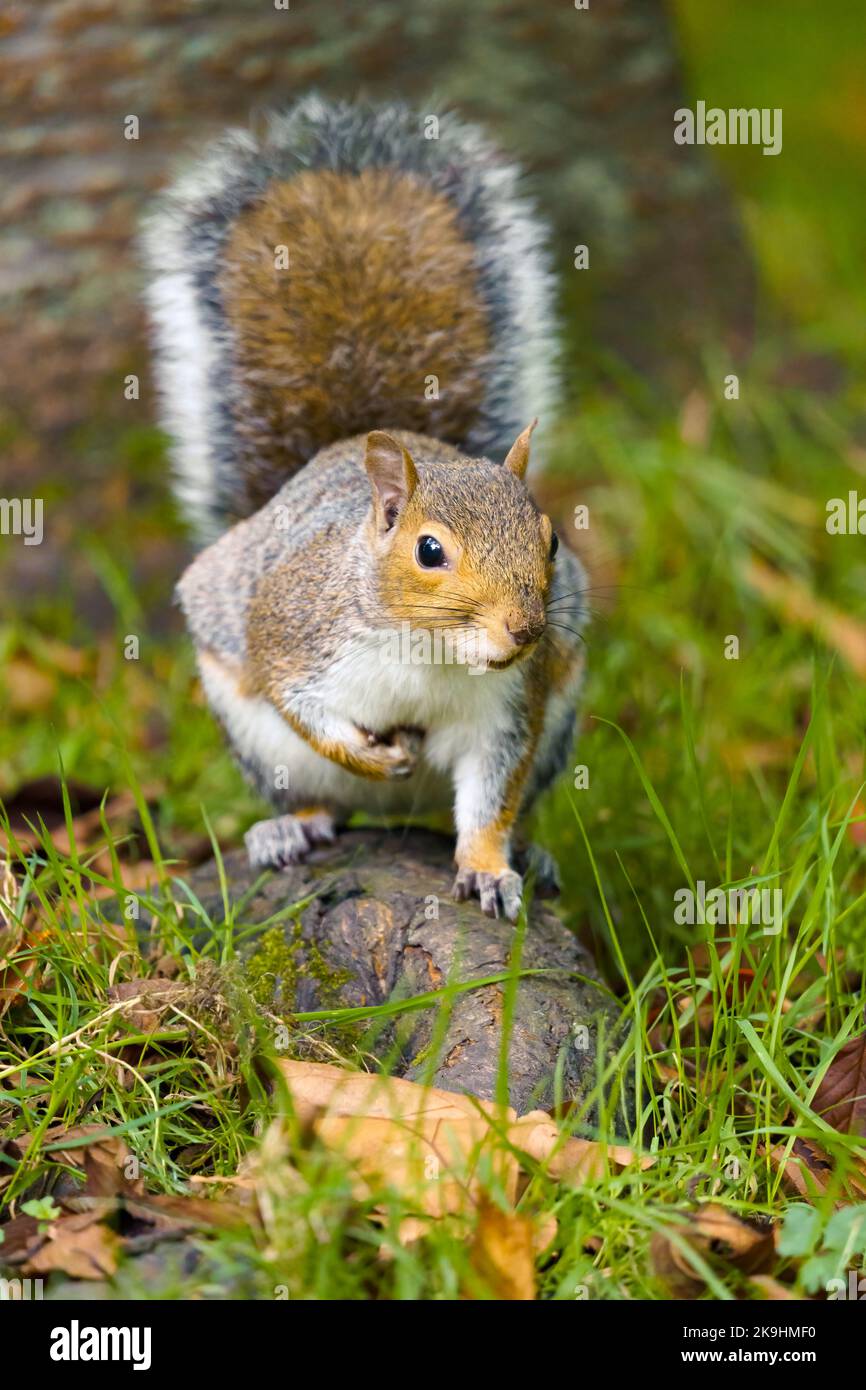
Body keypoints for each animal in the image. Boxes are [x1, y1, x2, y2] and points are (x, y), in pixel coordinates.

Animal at [143, 97, 589, 922]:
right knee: (317, 796)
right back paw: (291, 829)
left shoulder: (512, 706)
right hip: (256, 741)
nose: (525, 629)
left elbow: (491, 798)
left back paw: (536, 855)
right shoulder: (294, 633)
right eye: (429, 551)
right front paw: (367, 752)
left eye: (550, 541)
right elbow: (300, 704)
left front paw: (489, 868)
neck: (430, 652)